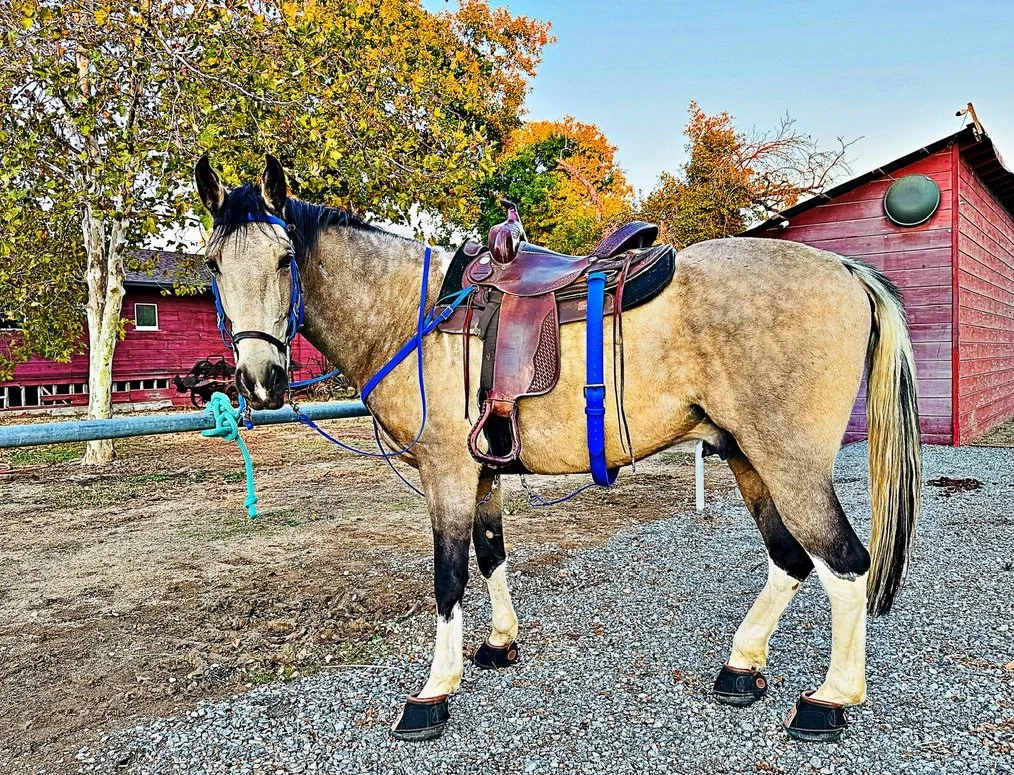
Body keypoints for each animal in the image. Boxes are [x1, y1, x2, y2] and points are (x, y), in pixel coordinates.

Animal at [193, 154, 922, 743]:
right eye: (213, 264)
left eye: (285, 259)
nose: (260, 379)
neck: (416, 314)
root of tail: (846, 270)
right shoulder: (483, 471)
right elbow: (491, 555)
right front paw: (498, 643)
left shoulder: (447, 472)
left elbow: (448, 578)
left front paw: (434, 692)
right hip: (747, 457)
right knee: (791, 560)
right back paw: (742, 665)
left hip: (788, 465)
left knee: (845, 564)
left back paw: (831, 699)